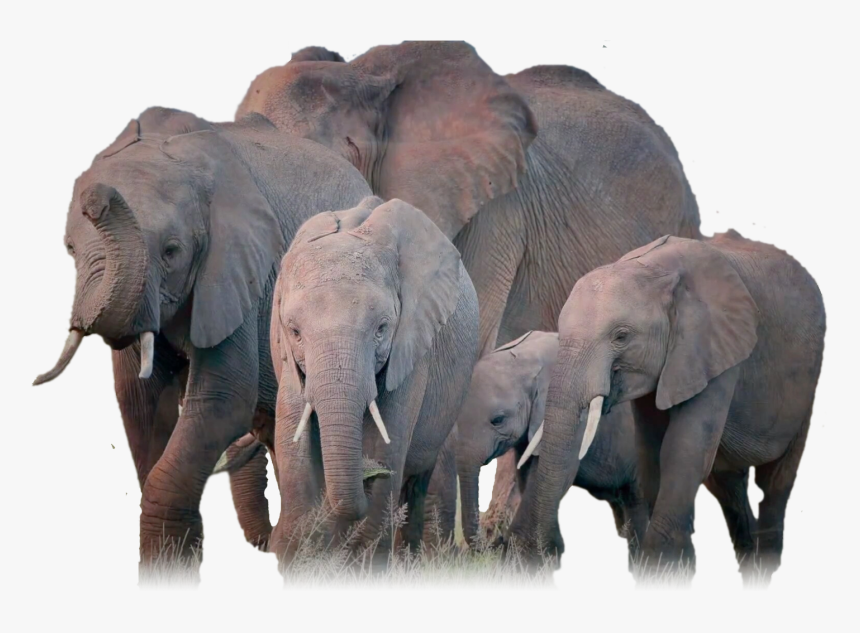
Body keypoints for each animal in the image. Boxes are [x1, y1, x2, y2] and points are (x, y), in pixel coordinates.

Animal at [33, 106, 373, 573]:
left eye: (172, 252)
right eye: (69, 248)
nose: (96, 199)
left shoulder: (238, 269)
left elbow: (222, 400)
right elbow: (138, 400)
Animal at [268, 196, 479, 566]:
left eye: (382, 329)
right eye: (294, 332)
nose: (370, 473)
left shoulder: (412, 346)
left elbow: (387, 441)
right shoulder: (287, 362)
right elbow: (294, 440)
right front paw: (295, 556)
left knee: (419, 478)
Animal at [509, 231, 826, 584]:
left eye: (621, 336)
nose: (539, 555)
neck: (655, 268)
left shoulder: (712, 345)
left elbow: (683, 448)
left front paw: (660, 569)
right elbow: (651, 451)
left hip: (804, 392)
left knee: (775, 481)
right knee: (728, 484)